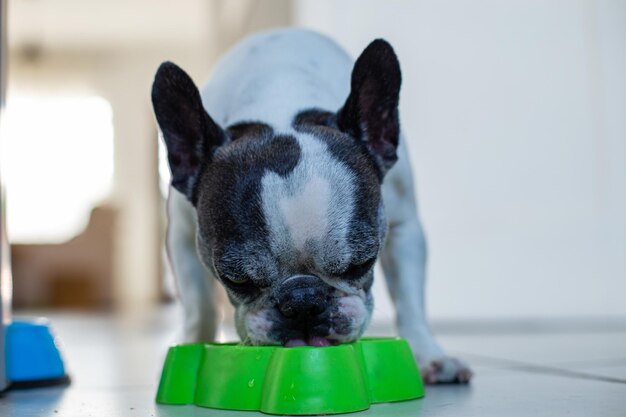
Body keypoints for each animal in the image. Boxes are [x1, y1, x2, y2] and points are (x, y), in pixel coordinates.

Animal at [151, 26, 470, 384]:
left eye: (361, 264)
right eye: (237, 280)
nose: (303, 300)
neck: (279, 104)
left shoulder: (404, 228)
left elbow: (410, 300)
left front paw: (429, 355)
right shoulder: (181, 237)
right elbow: (199, 306)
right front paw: (192, 350)